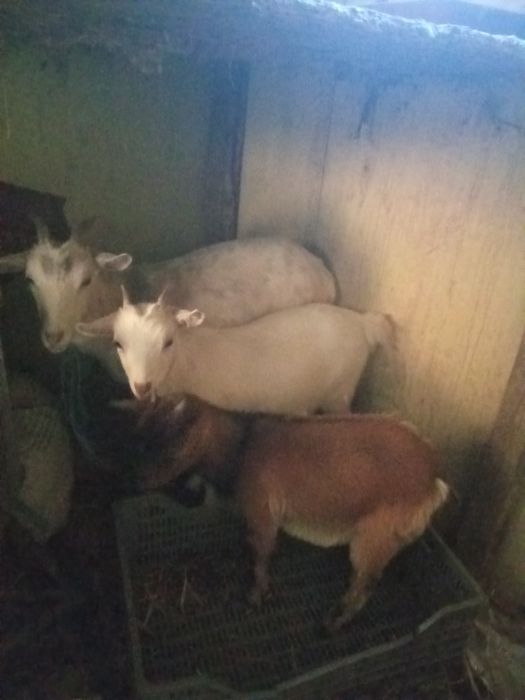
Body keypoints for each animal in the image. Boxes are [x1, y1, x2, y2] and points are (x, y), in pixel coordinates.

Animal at [77, 291, 395, 415]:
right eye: (118, 344)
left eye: (168, 342)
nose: (142, 387)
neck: (188, 360)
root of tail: (362, 322)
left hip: (339, 392)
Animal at [128, 395, 449, 631]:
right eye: (141, 441)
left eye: (171, 448)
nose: (138, 480)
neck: (243, 448)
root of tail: (433, 476)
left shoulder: (262, 513)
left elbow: (260, 555)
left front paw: (255, 596)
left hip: (375, 537)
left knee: (365, 582)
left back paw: (334, 622)